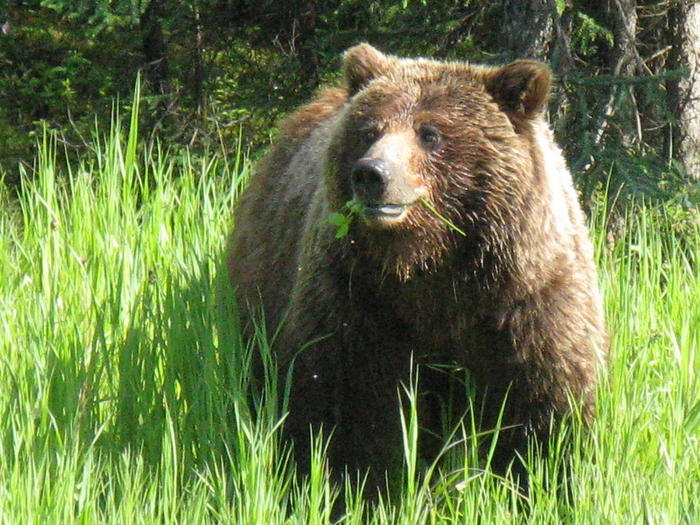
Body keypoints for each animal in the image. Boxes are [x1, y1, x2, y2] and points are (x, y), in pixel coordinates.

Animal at [228, 43, 608, 486]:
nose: (371, 173)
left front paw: (542, 479)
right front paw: (349, 483)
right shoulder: (356, 296)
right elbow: (345, 402)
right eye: (370, 130)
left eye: (431, 133)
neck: (428, 264)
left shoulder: (526, 298)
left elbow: (544, 402)